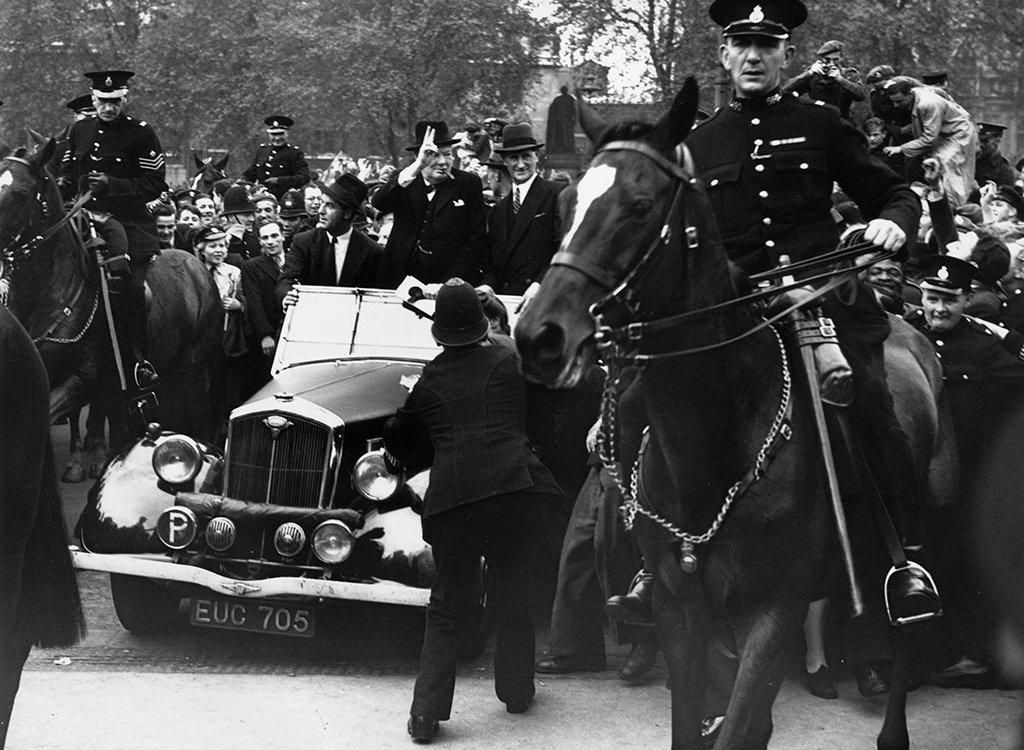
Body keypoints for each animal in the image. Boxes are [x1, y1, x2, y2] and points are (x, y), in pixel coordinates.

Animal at [516, 78, 925, 745]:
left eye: (640, 204)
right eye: (568, 202)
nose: (538, 335)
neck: (718, 439)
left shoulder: (776, 611)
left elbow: (740, 722)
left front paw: (885, 227)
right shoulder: (684, 608)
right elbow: (701, 718)